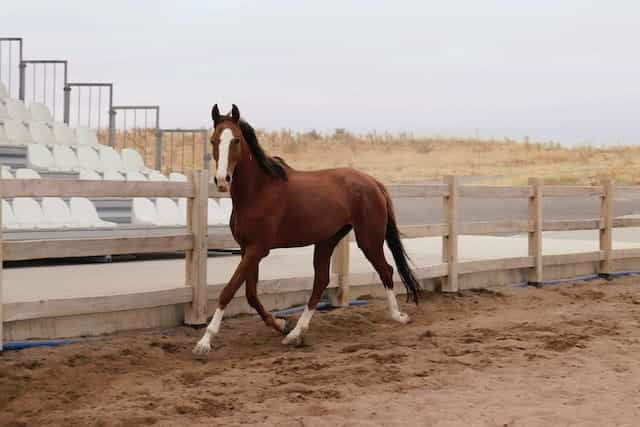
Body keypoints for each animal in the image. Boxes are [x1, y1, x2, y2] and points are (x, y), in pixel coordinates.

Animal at [191, 104, 420, 358]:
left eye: (236, 140)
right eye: (213, 140)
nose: (222, 180)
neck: (258, 192)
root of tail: (373, 182)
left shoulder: (257, 249)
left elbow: (229, 290)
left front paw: (204, 342)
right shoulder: (246, 249)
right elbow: (250, 294)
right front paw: (281, 324)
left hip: (368, 239)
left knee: (386, 270)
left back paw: (398, 316)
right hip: (327, 241)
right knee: (321, 282)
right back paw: (295, 333)